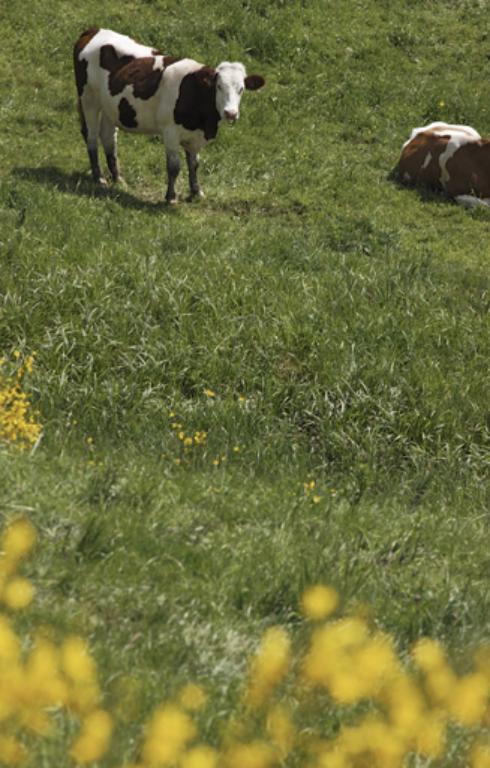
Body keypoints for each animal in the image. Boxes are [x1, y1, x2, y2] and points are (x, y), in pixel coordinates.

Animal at [73, 28, 264, 202]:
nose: (230, 113)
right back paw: (99, 177)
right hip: (88, 99)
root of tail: (93, 30)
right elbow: (174, 166)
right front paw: (171, 197)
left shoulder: (195, 136)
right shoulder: (170, 131)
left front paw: (196, 192)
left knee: (108, 138)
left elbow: (194, 164)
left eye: (241, 89)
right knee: (91, 135)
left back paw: (118, 178)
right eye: (218, 86)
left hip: (111, 108)